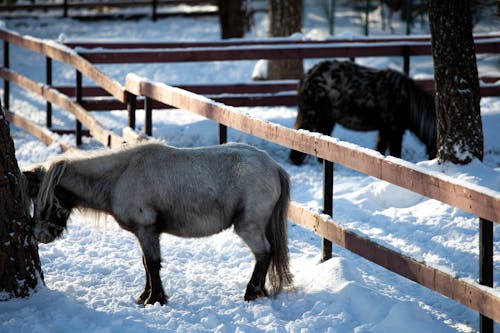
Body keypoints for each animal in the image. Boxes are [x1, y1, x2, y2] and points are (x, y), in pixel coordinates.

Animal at [292, 60, 436, 164]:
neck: (406, 101)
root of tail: (308, 76)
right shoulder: (395, 130)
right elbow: (395, 152)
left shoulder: (385, 129)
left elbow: (380, 148)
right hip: (311, 115)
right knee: (299, 135)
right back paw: (296, 161)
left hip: (326, 119)